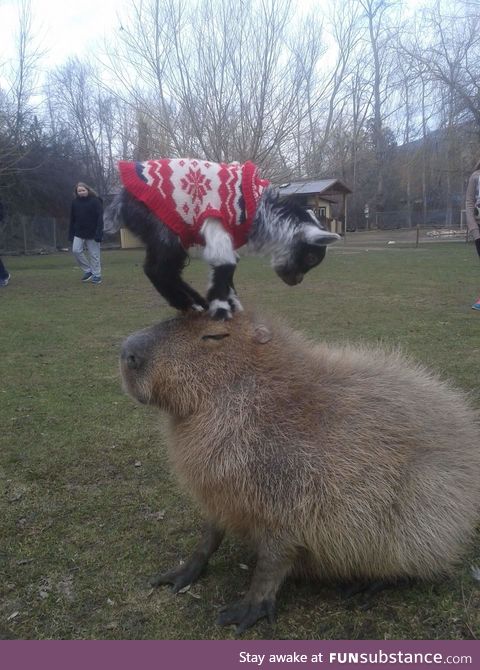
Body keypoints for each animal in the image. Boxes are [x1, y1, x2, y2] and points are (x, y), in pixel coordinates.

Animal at [103, 160, 340, 322]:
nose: (296, 281)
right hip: (165, 228)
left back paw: (197, 301)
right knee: (156, 269)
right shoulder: (216, 222)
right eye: (310, 257)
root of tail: (121, 199)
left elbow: (229, 266)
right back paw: (188, 304)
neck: (262, 209)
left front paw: (230, 302)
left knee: (170, 271)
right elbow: (225, 262)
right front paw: (221, 309)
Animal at [119, 312, 480, 632]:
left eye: (214, 335)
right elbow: (209, 534)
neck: (259, 396)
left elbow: (273, 560)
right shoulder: (219, 494)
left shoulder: (292, 498)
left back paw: (367, 583)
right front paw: (180, 573)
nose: (127, 352)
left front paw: (247, 610)